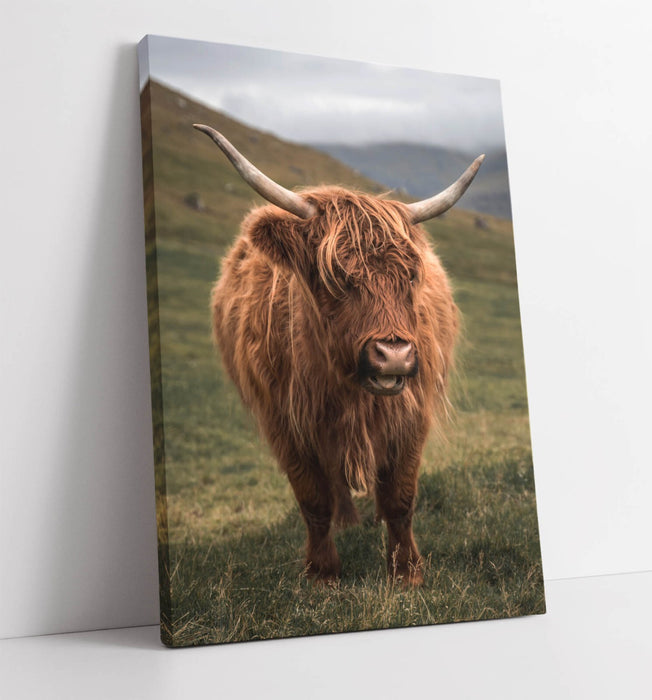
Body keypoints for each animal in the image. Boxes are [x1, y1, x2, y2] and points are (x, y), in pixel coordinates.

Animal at [194, 124, 484, 586]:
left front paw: (407, 572)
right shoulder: (285, 422)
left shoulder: (412, 414)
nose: (394, 355)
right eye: (335, 276)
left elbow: (401, 498)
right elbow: (313, 499)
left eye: (411, 276)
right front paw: (322, 572)